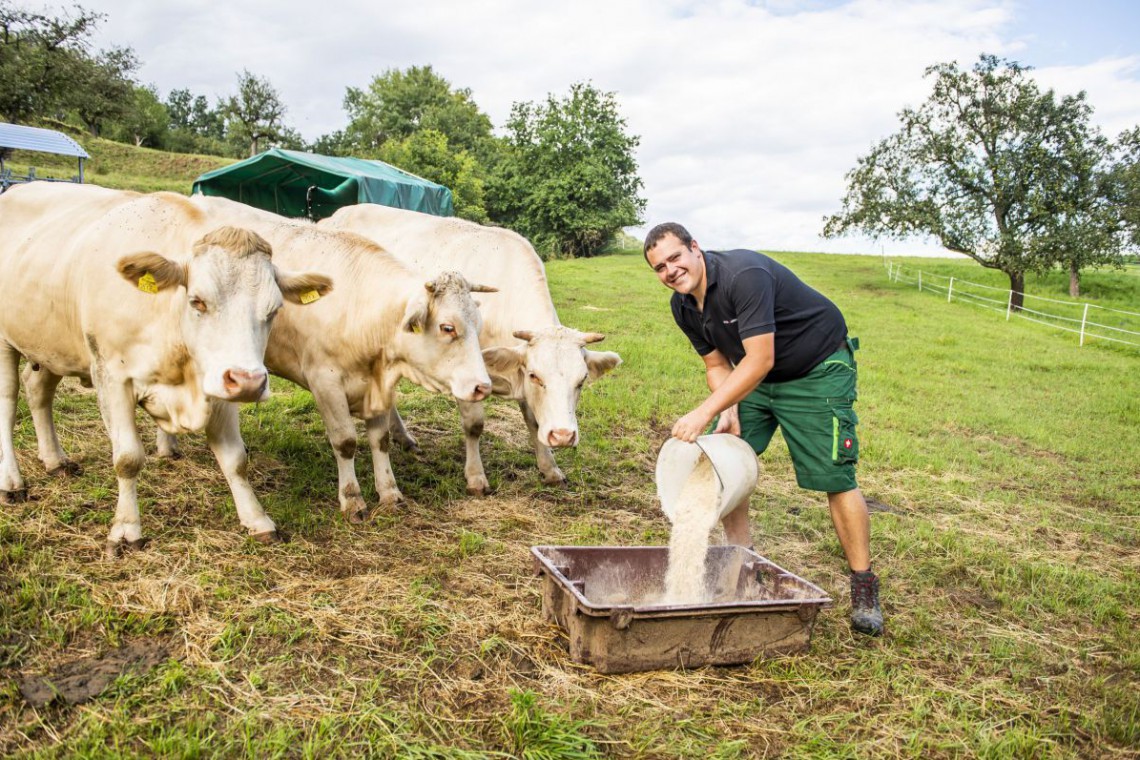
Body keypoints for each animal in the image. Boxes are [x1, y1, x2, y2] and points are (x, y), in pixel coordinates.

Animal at [0, 182, 332, 556]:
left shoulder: (217, 383)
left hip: (51, 345)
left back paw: (55, 460)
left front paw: (257, 520)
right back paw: (11, 481)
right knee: (8, 404)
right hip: (5, 342)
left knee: (38, 391)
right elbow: (127, 458)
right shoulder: (111, 377)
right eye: (197, 301)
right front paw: (126, 529)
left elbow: (235, 459)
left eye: (274, 310)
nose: (249, 382)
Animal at [156, 193, 499, 519]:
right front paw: (352, 499)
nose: (483, 387)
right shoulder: (325, 381)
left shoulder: (374, 383)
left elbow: (380, 439)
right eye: (447, 327)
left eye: (478, 325)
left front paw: (389, 492)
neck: (360, 307)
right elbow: (345, 441)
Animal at [319, 205, 624, 496]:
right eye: (536, 376)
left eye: (581, 380)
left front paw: (550, 468)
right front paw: (476, 477)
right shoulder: (466, 376)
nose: (562, 435)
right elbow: (474, 425)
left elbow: (534, 423)